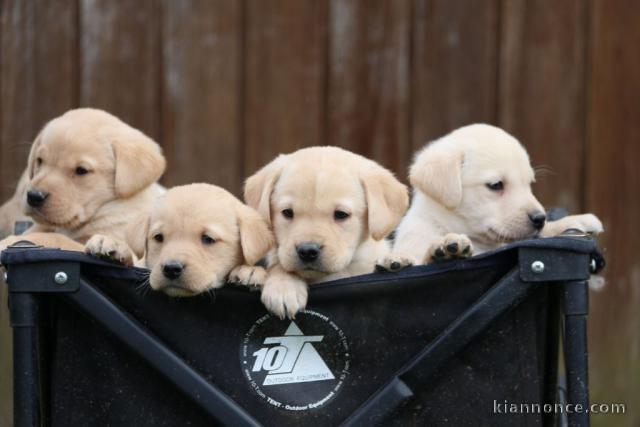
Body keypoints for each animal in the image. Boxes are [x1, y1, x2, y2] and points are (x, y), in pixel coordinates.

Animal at [242, 147, 408, 318]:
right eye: (287, 212)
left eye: (341, 214)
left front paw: (394, 259)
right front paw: (283, 286)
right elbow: (279, 265)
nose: (307, 251)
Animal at [392, 123, 604, 264]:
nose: (539, 218)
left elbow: (543, 233)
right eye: (496, 185)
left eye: (529, 183)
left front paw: (578, 221)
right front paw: (446, 248)